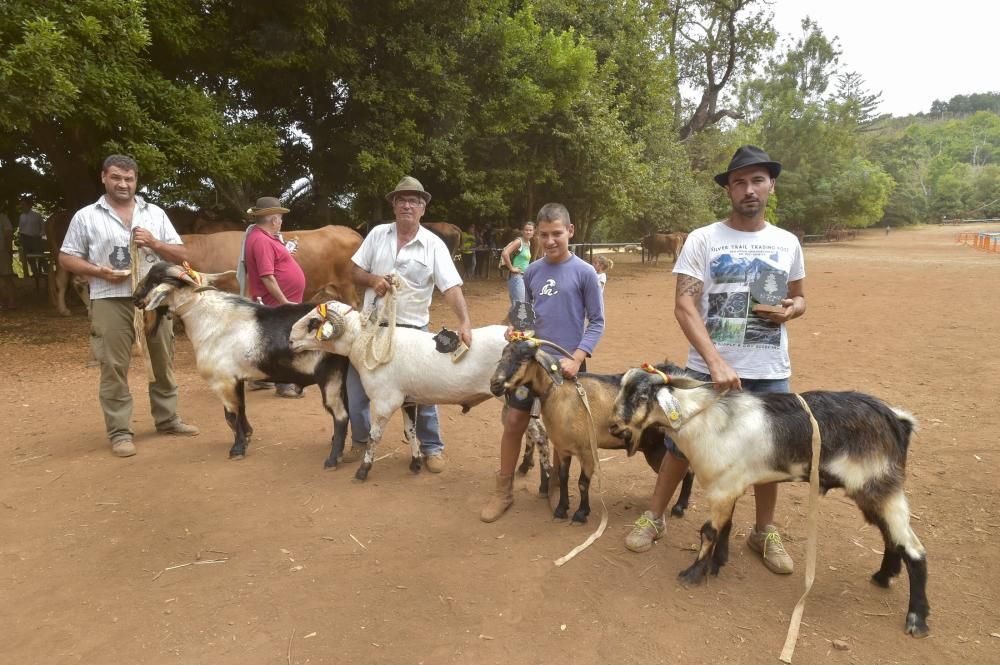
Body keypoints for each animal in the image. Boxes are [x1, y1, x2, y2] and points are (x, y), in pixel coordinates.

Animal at [132, 260, 352, 462]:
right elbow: (242, 408)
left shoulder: (223, 381)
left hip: (330, 377)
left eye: (154, 280)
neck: (208, 319)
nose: (135, 298)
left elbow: (231, 414)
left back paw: (334, 458)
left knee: (340, 415)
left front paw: (237, 448)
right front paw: (247, 435)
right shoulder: (236, 379)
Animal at [286, 298, 516, 480]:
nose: (289, 340)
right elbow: (410, 431)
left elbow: (374, 436)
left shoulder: (385, 402)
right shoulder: (408, 400)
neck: (370, 343)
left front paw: (363, 470)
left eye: (313, 322)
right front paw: (415, 463)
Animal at [486, 342, 692, 524]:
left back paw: (679, 507)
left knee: (687, 470)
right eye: (502, 355)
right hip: (654, 448)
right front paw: (561, 509)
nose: (495, 384)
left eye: (524, 358)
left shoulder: (587, 451)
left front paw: (580, 513)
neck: (562, 395)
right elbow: (563, 478)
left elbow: (583, 482)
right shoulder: (563, 448)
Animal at [608, 370, 928, 636]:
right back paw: (883, 576)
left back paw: (917, 620)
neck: (706, 420)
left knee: (913, 549)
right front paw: (718, 564)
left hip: (879, 487)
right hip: (873, 492)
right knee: (891, 537)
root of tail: (896, 420)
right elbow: (726, 526)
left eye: (640, 396)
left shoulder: (721, 488)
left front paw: (693, 573)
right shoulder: (731, 486)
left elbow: (709, 531)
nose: (612, 426)